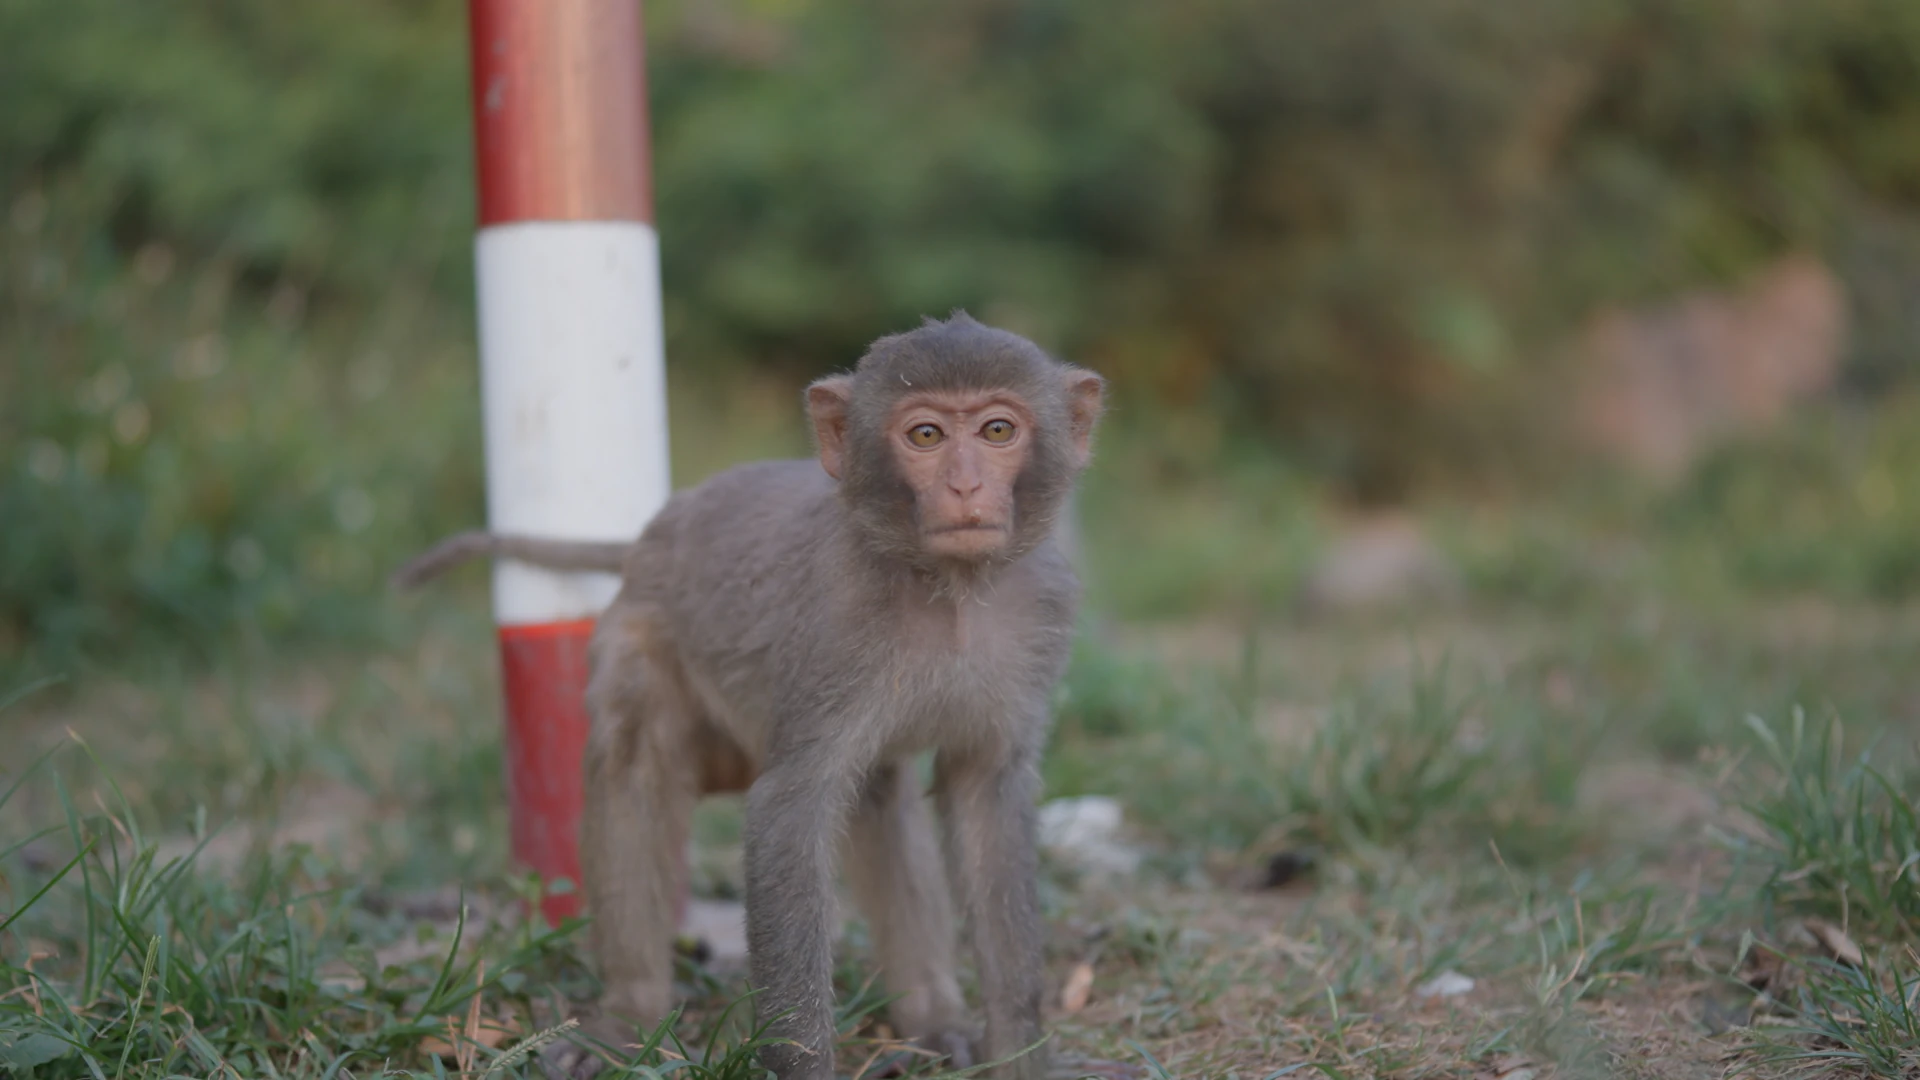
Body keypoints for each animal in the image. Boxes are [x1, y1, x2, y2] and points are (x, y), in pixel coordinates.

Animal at [395, 313, 1108, 1080]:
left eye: (998, 430)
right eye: (926, 435)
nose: (967, 485)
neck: (951, 589)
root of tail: (657, 529)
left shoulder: (1041, 613)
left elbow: (985, 799)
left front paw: (1018, 1049)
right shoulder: (835, 627)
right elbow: (788, 813)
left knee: (878, 796)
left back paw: (930, 1016)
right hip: (642, 631)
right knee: (635, 762)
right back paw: (628, 1012)